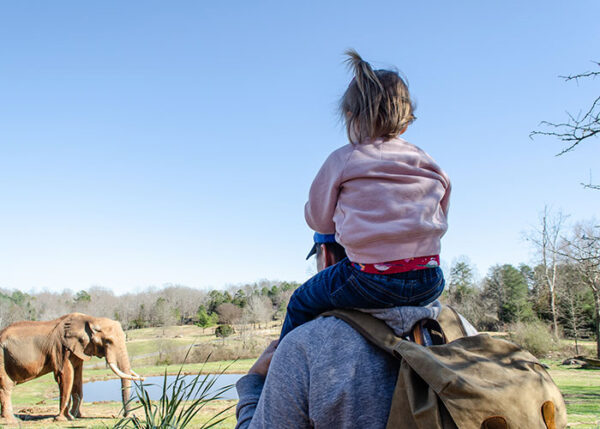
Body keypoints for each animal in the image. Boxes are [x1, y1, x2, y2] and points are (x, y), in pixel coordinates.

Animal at [0, 312, 143, 422]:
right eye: (108, 341)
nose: (127, 416)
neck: (90, 319)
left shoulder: (77, 350)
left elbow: (78, 377)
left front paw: (78, 416)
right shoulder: (60, 348)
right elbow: (65, 375)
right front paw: (64, 419)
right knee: (6, 386)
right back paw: (11, 421)